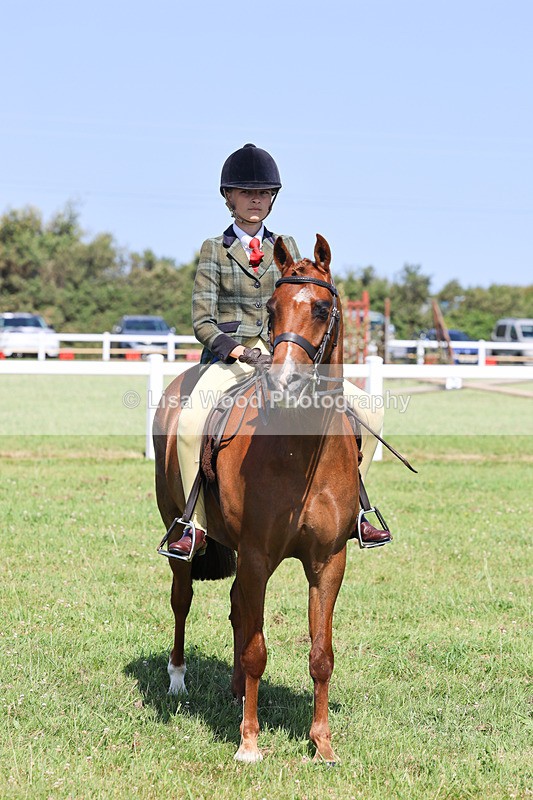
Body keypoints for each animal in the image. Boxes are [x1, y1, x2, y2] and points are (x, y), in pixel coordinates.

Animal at [153, 234, 360, 764]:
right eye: (272, 308)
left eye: (322, 308)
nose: (284, 383)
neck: (300, 449)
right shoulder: (256, 555)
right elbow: (256, 649)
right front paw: (249, 743)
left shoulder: (329, 561)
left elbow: (321, 654)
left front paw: (322, 745)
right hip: (184, 533)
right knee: (182, 600)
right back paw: (178, 680)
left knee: (236, 610)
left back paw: (231, 690)